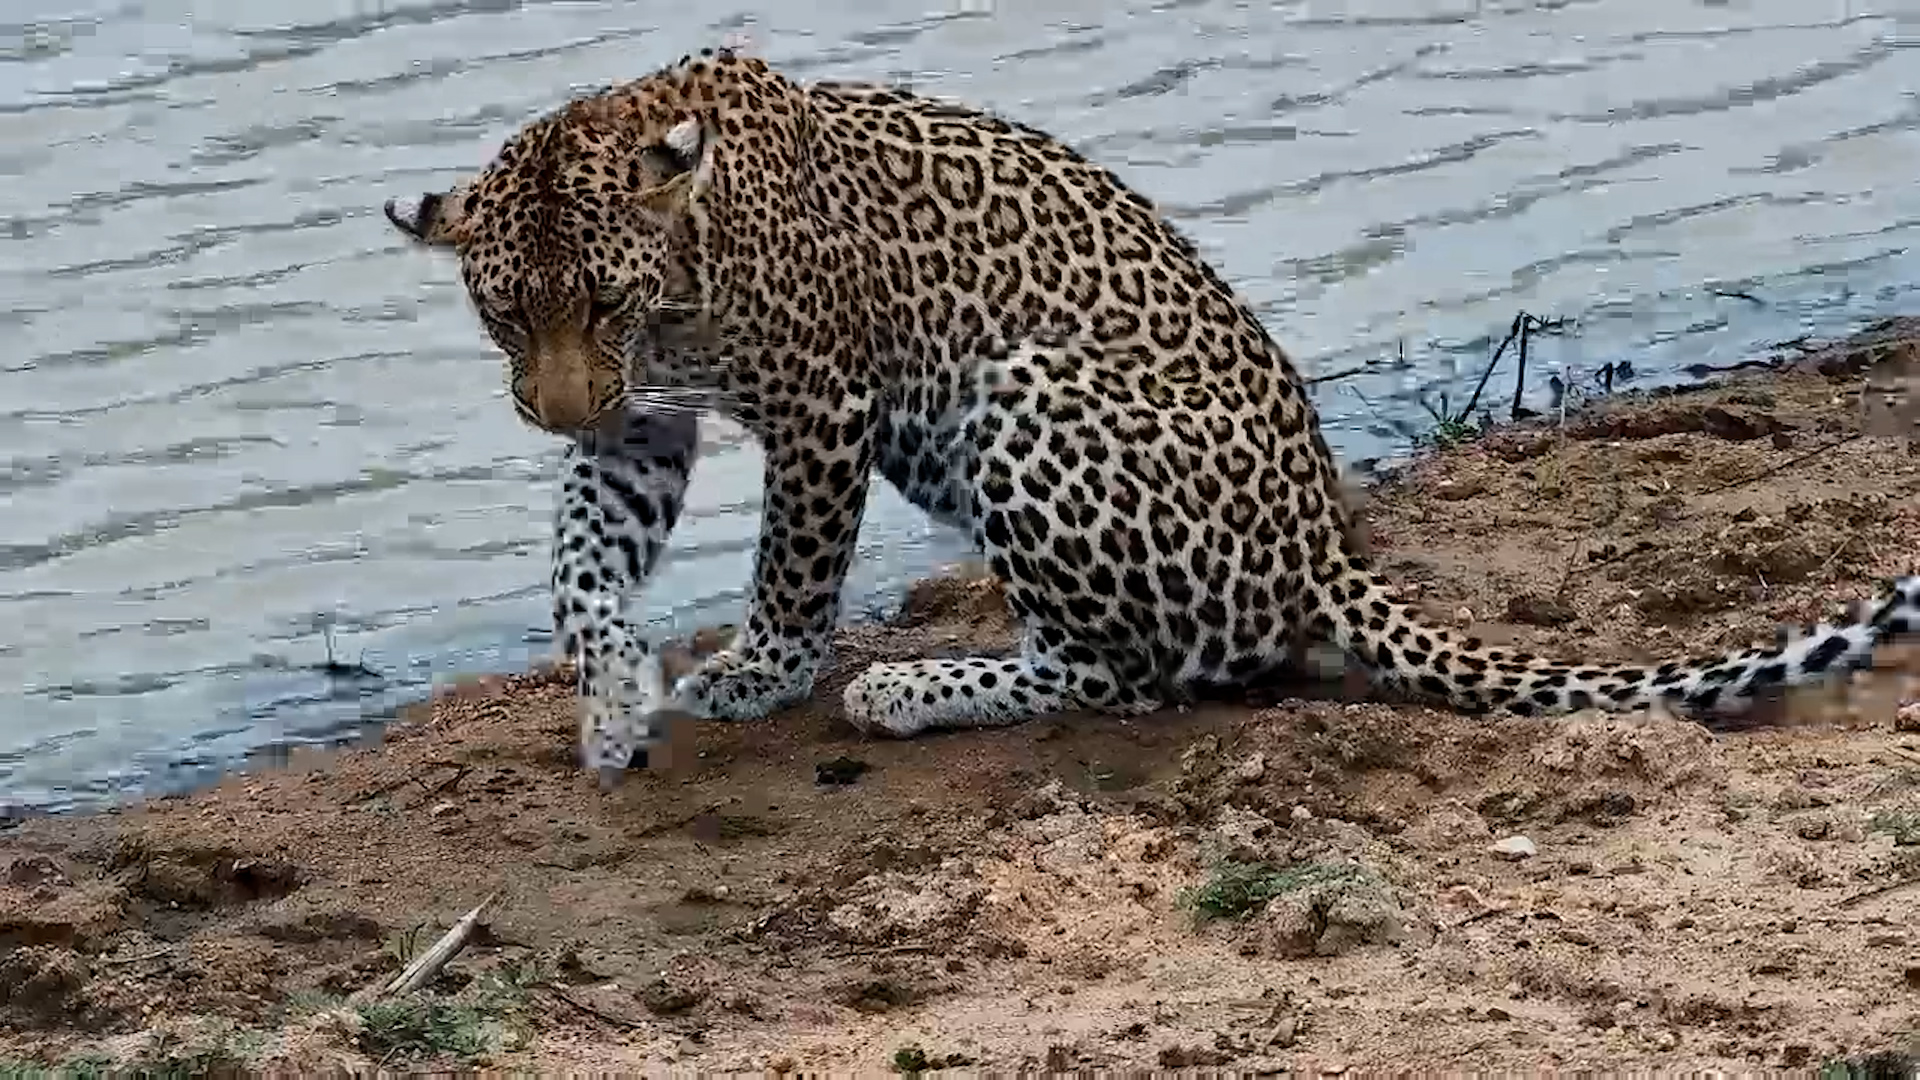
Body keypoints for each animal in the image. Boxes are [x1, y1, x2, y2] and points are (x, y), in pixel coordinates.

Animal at [382, 48, 1920, 783]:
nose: (550, 409)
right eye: (508, 316)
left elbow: (795, 570)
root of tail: (1326, 548)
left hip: (1021, 397)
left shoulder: (823, 403)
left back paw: (914, 688)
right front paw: (606, 701)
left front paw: (758, 674)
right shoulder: (637, 426)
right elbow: (583, 567)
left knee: (1132, 672)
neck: (688, 268)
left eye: (604, 300)